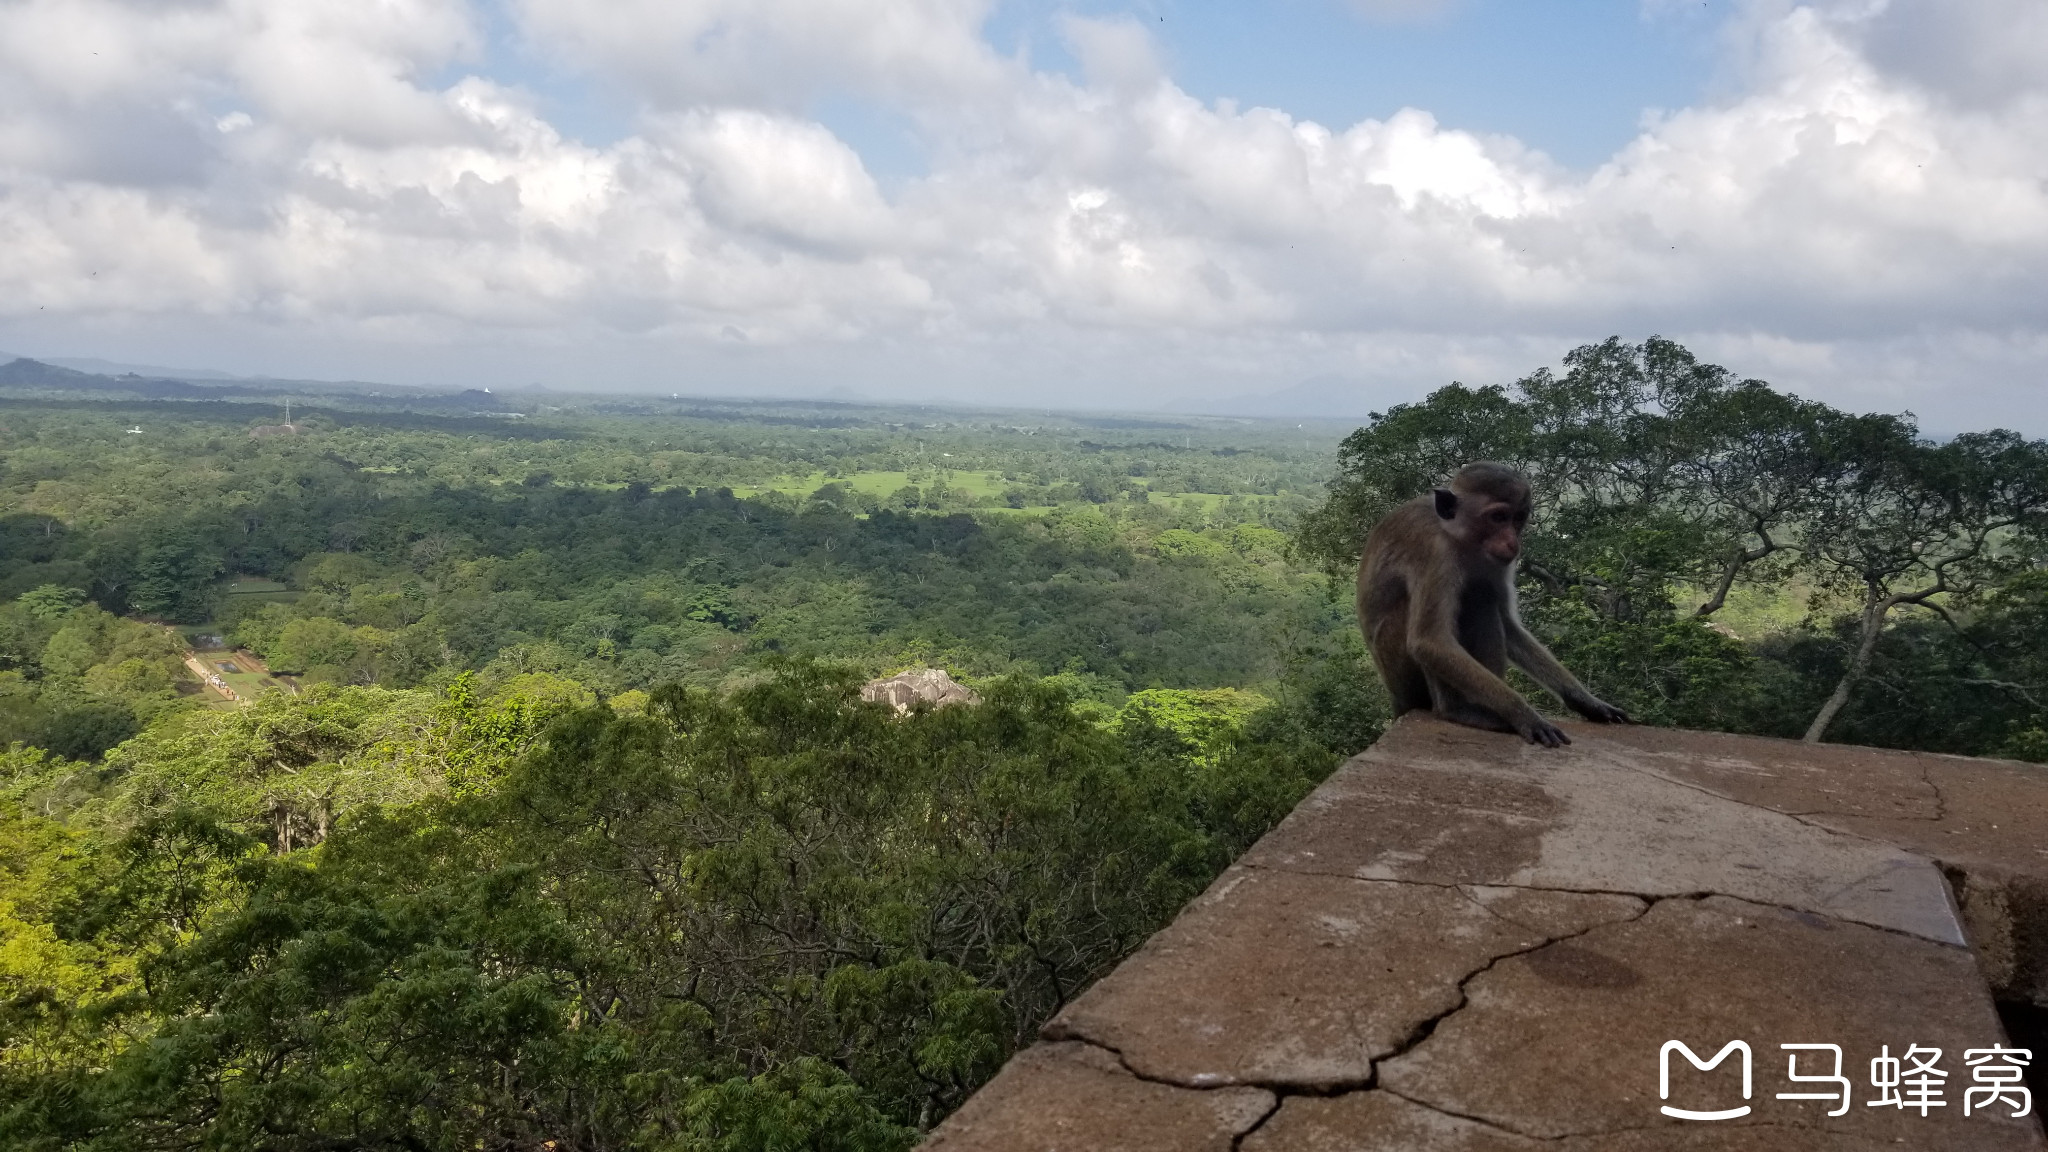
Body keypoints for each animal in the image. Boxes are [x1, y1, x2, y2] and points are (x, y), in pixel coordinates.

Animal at [1359, 457, 1630, 746]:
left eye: (1518, 519)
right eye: (1498, 517)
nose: (1513, 542)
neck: (1458, 537)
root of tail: (1396, 699)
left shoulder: (1499, 562)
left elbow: (1509, 626)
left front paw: (1585, 700)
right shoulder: (1434, 552)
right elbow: (1430, 640)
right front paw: (1523, 713)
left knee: (1482, 595)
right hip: (1401, 673)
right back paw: (1457, 710)